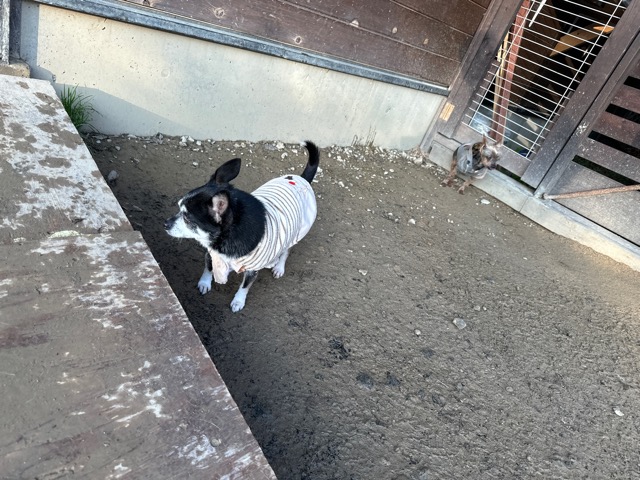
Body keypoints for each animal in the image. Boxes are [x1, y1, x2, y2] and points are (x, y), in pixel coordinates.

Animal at [164, 141, 319, 312]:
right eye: (179, 207)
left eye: (187, 218)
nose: (166, 224)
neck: (225, 241)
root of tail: (301, 179)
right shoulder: (212, 254)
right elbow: (208, 268)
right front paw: (204, 283)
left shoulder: (252, 270)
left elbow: (244, 287)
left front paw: (238, 301)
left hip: (294, 233)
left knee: (286, 252)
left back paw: (279, 267)